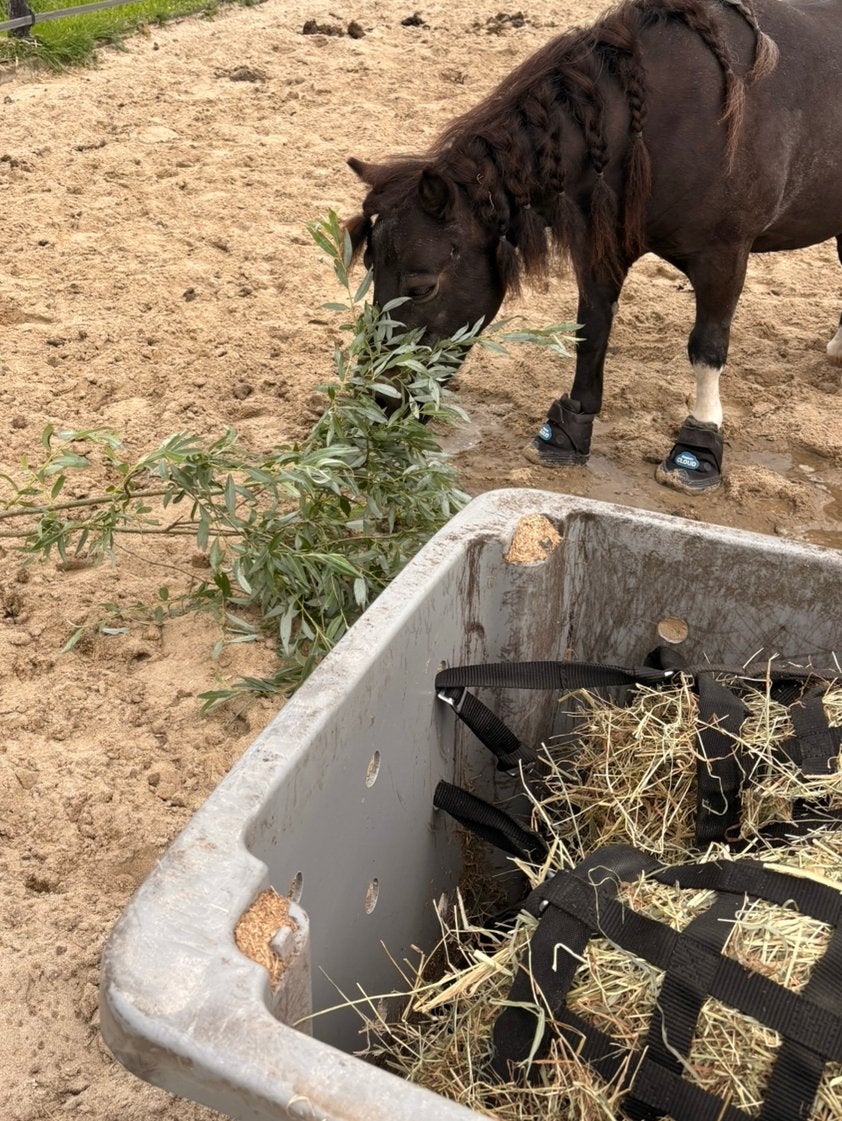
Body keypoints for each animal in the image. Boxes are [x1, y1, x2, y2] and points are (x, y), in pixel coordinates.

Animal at [345, 0, 842, 494]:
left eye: (422, 286)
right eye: (369, 266)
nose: (377, 404)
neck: (663, 119)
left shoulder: (723, 257)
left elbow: (707, 347)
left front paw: (696, 449)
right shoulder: (600, 249)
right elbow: (591, 329)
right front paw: (567, 431)